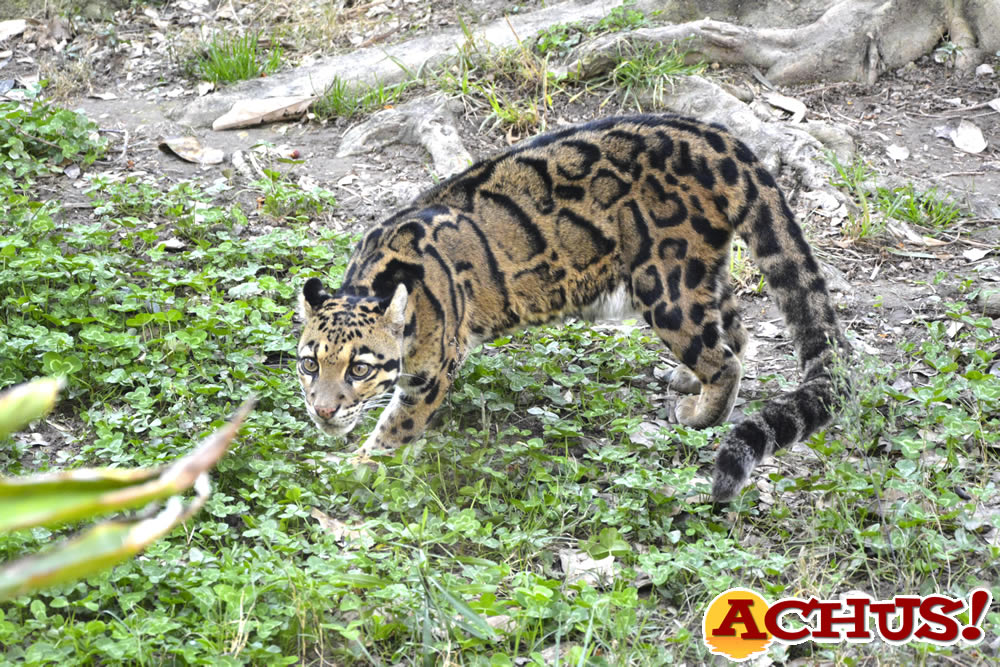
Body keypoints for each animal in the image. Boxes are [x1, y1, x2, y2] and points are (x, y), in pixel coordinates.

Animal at [298, 115, 852, 500]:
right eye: (309, 364)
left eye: (360, 368)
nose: (323, 411)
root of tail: (717, 138)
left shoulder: (430, 373)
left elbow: (394, 427)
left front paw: (352, 467)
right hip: (699, 275)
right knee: (736, 331)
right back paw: (687, 381)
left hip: (666, 286)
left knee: (726, 359)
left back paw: (700, 413)